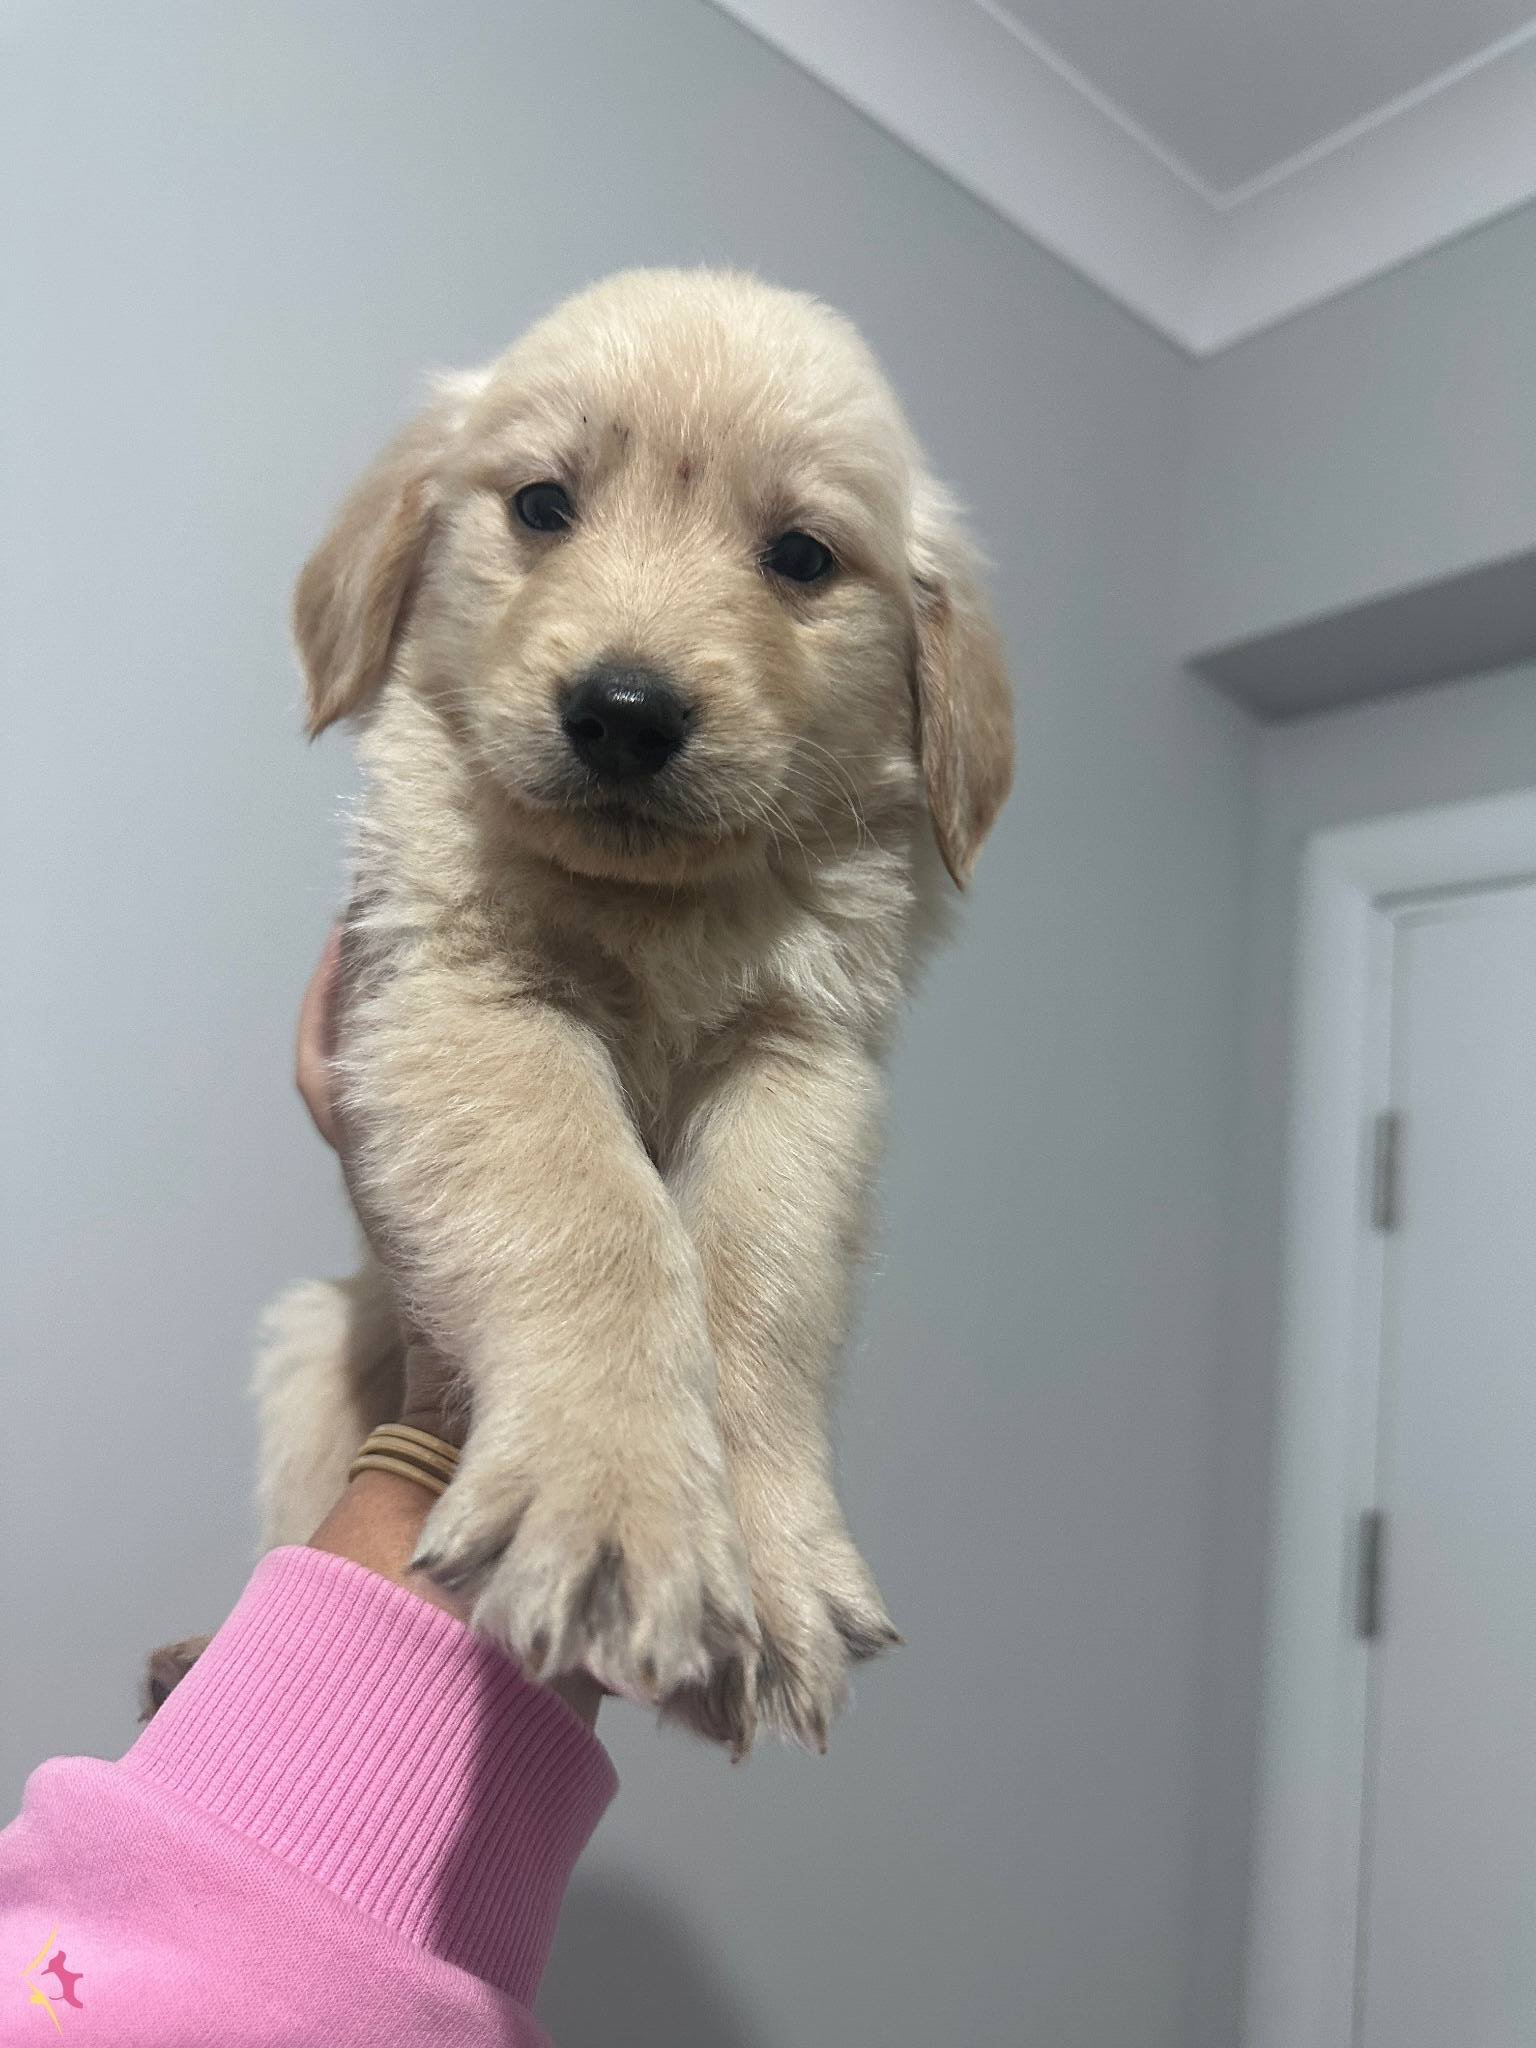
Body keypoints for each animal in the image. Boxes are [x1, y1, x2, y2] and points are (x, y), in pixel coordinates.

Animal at [243, 269, 1012, 1754]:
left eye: (801, 557)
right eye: (543, 505)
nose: (624, 710)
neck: (661, 910)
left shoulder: (802, 1063)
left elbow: (759, 1277)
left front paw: (772, 1559)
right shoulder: (465, 993)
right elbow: (594, 1214)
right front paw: (615, 1505)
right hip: (309, 1343)